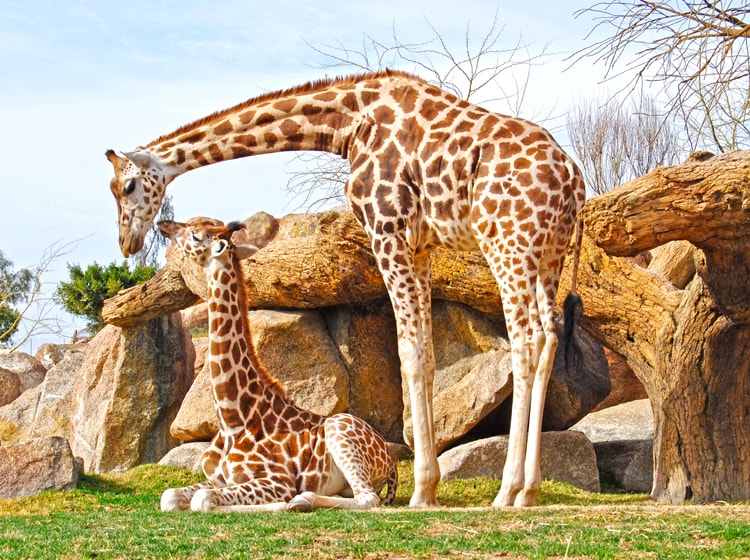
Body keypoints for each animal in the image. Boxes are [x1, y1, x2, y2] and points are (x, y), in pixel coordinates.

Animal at [159, 218, 400, 512]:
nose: (163, 225)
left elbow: (202, 500)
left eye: (195, 235)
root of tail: (390, 460)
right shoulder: (217, 479)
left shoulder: (278, 479)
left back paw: (302, 500)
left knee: (368, 499)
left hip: (340, 430)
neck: (232, 418)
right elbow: (170, 496)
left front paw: (278, 504)